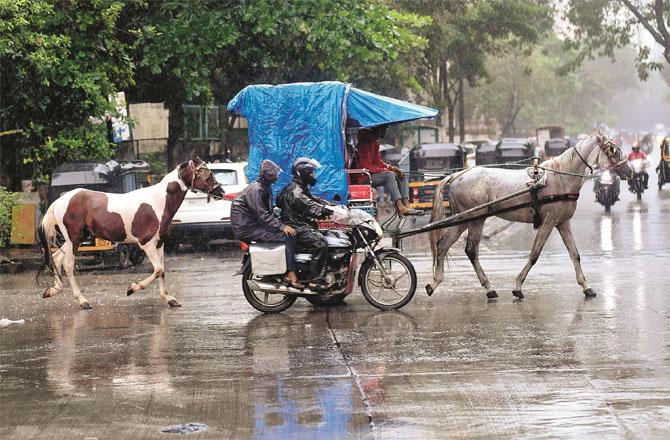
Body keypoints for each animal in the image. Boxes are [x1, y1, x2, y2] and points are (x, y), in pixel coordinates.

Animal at [428, 134, 632, 300]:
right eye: (612, 151)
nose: (629, 171)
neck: (560, 179)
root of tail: (457, 175)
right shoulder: (548, 222)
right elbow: (535, 254)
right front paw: (518, 286)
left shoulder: (563, 222)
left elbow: (575, 254)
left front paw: (586, 287)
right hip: (475, 217)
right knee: (467, 249)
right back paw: (483, 286)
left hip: (466, 220)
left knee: (447, 246)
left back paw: (440, 283)